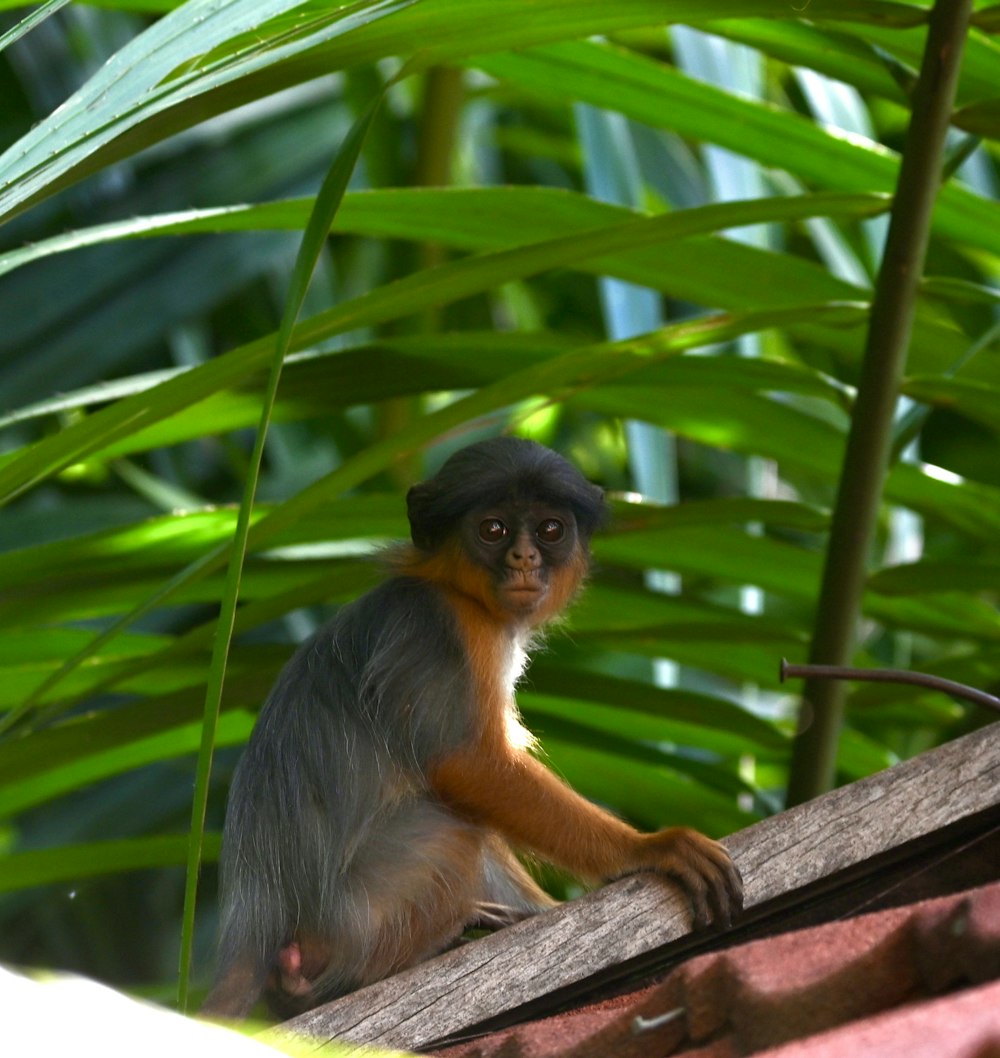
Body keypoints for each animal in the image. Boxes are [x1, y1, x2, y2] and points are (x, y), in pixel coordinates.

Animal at [201, 435, 740, 1015]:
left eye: (551, 530)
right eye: (493, 529)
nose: (525, 558)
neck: (454, 588)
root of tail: (253, 926)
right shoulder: (438, 631)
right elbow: (466, 764)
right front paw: (648, 850)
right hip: (353, 921)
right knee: (454, 830)